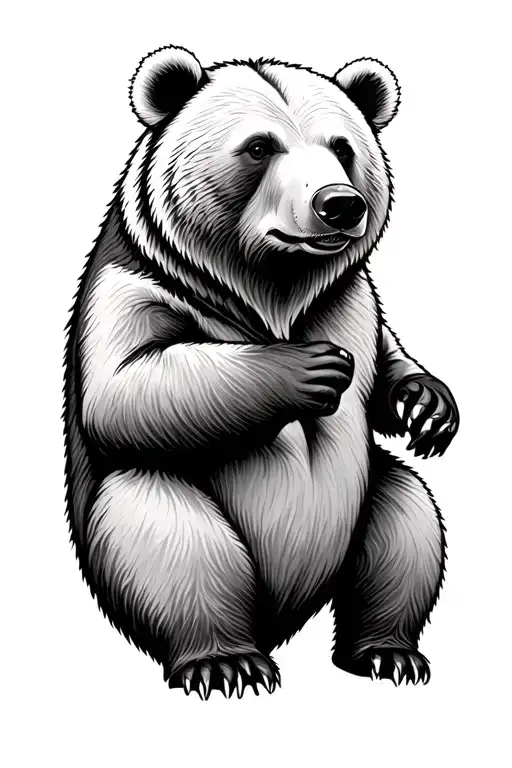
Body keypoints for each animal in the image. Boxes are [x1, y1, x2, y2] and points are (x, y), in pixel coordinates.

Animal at [64, 45, 459, 699]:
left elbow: (386, 364)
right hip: (154, 504)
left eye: (343, 147)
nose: (339, 203)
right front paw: (311, 368)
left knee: (406, 521)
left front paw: (425, 405)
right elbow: (127, 385)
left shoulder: (353, 301)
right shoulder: (134, 284)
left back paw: (388, 652)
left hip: (369, 501)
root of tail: (280, 619)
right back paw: (224, 660)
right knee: (170, 538)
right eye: (258, 147)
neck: (273, 287)